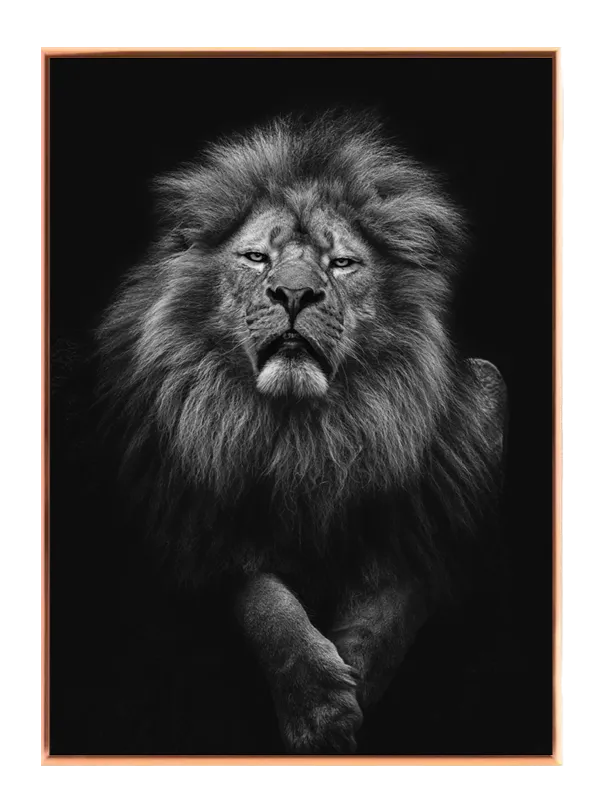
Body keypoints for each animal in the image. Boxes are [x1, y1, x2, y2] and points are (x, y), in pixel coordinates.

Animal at [97, 112, 507, 755]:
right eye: (256, 258)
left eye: (341, 264)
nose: (293, 293)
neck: (305, 433)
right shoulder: (200, 521)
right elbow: (265, 603)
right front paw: (317, 705)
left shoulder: (432, 519)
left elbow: (392, 605)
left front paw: (352, 683)